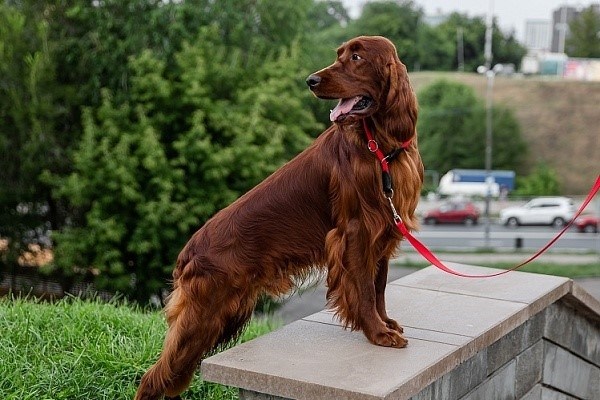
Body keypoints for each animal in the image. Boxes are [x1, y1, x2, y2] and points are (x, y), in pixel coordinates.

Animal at [137, 36, 422, 398]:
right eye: (339, 54)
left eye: (357, 57)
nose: (311, 81)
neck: (379, 147)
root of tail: (186, 254)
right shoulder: (356, 232)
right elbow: (365, 289)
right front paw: (378, 333)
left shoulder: (382, 233)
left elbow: (380, 286)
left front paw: (385, 323)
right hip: (203, 315)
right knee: (154, 377)